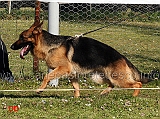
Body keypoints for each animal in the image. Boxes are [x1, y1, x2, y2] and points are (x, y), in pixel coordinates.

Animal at [10, 21, 154, 97]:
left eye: (22, 37)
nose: (11, 46)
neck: (51, 45)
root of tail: (123, 57)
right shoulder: (72, 74)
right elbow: (76, 87)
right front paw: (76, 98)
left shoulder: (64, 68)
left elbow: (47, 76)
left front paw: (40, 89)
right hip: (102, 77)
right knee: (112, 85)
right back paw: (103, 93)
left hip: (117, 78)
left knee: (138, 83)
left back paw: (134, 96)